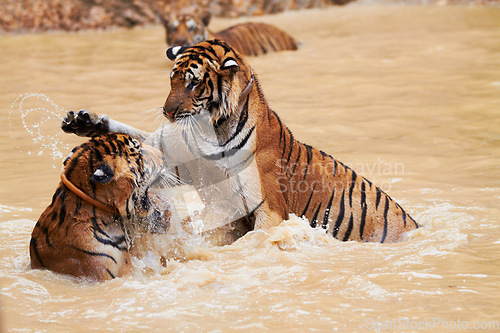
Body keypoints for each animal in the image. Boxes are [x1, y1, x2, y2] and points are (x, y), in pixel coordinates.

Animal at [60, 40, 420, 243]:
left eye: (192, 83)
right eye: (172, 79)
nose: (167, 111)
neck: (212, 130)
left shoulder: (268, 210)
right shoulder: (177, 164)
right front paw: (85, 121)